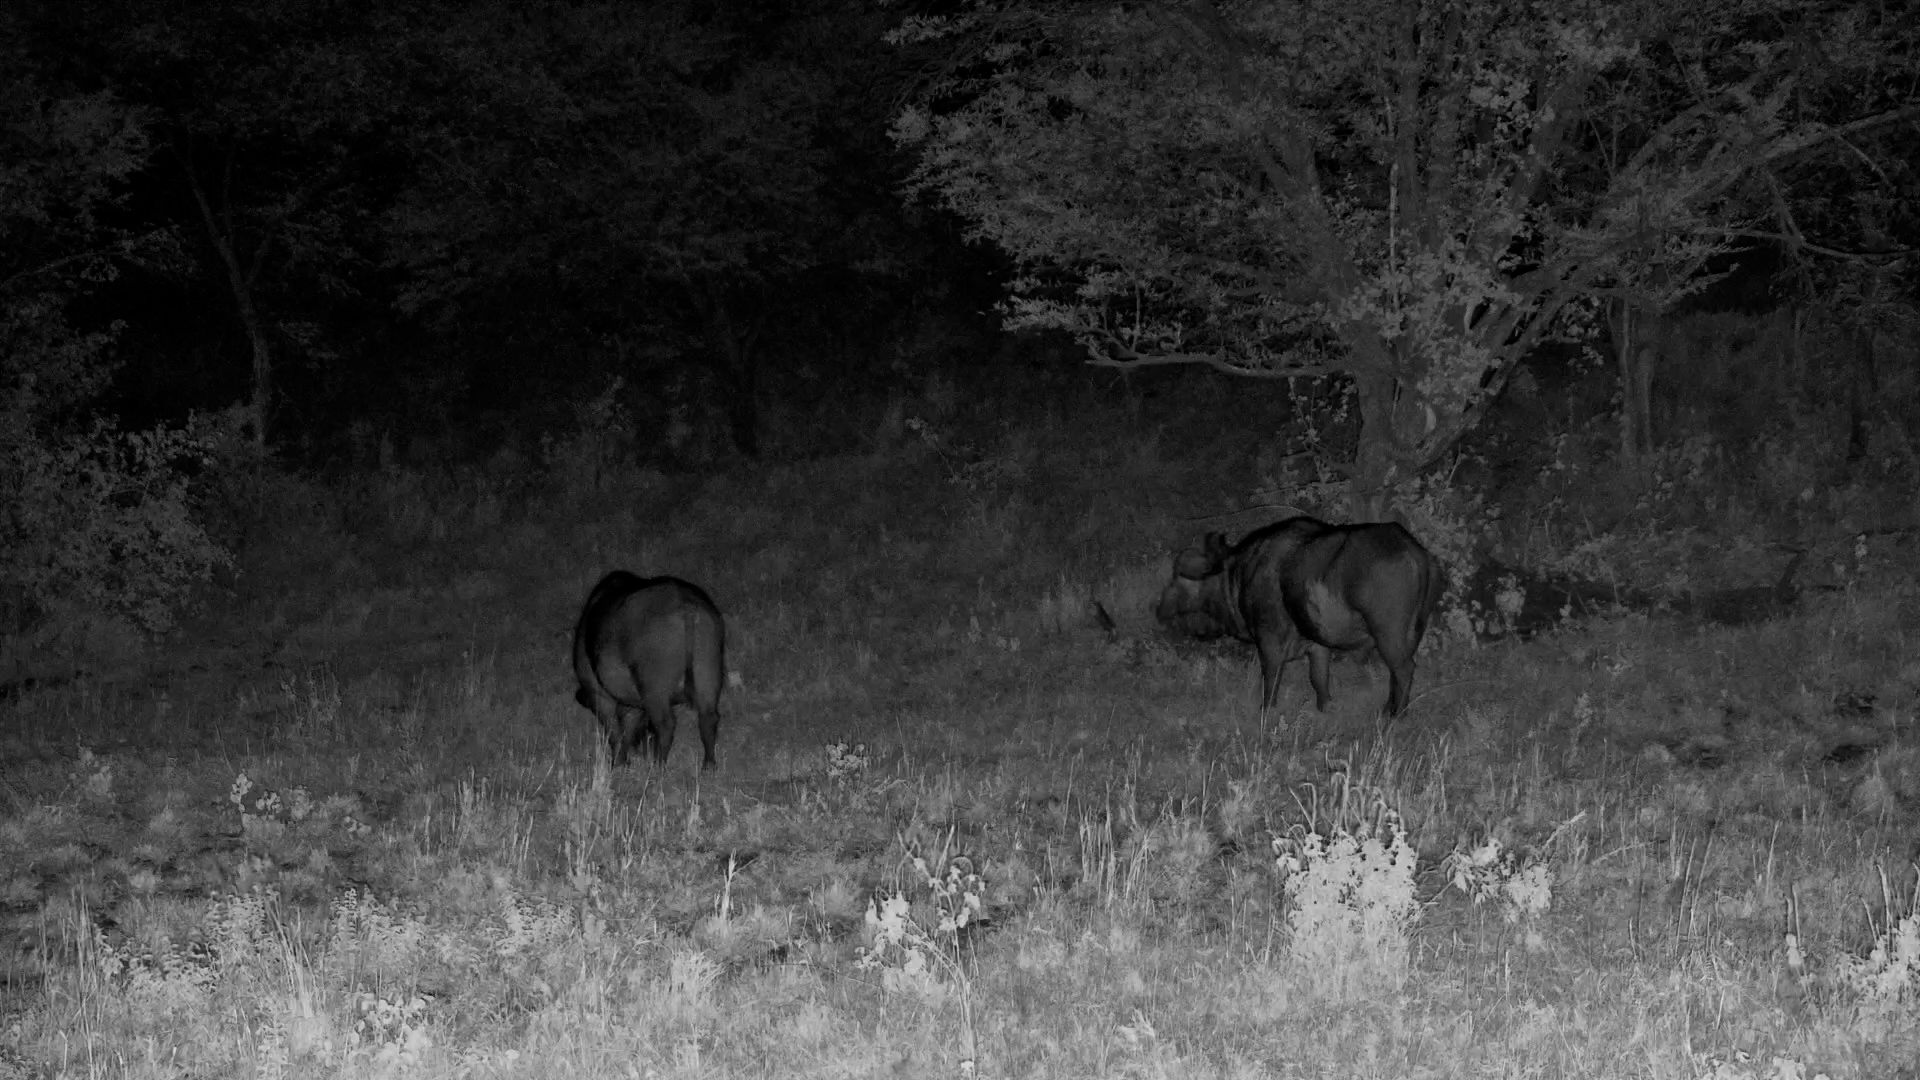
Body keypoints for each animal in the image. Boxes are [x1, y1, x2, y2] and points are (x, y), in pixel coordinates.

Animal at [571, 571, 727, 768]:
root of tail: (686, 605)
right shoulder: (632, 704)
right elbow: (627, 729)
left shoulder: (599, 695)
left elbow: (614, 731)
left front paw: (618, 762)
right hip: (707, 673)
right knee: (708, 719)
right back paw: (708, 766)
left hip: (654, 690)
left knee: (665, 724)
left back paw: (658, 765)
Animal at [1155, 517, 1443, 717]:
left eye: (1177, 580)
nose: (1159, 610)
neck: (1241, 574)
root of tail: (1415, 552)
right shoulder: (1318, 645)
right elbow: (1318, 678)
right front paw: (1325, 707)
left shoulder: (1268, 640)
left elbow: (1271, 677)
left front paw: (1267, 711)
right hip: (1413, 632)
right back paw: (1387, 708)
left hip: (1388, 633)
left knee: (1404, 669)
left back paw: (1396, 715)